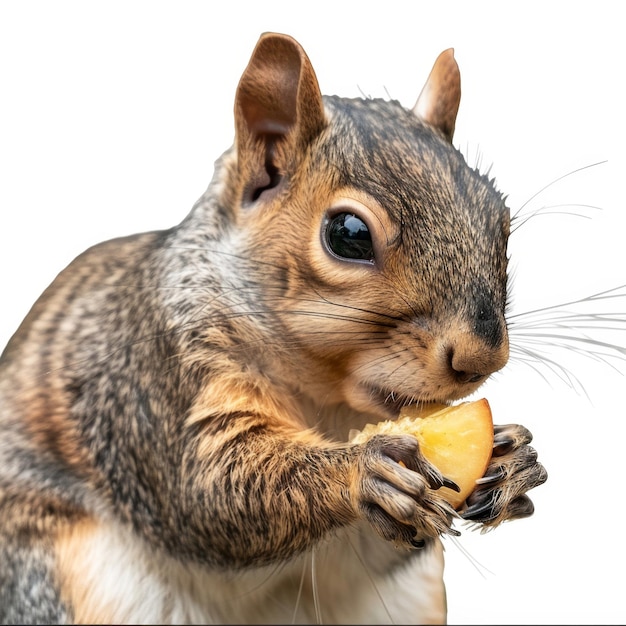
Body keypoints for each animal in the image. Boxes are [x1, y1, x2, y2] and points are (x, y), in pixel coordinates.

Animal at [0, 34, 544, 624]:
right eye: (348, 234)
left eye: (501, 224)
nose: (481, 357)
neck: (327, 402)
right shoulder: (156, 381)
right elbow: (207, 489)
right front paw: (363, 471)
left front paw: (514, 460)